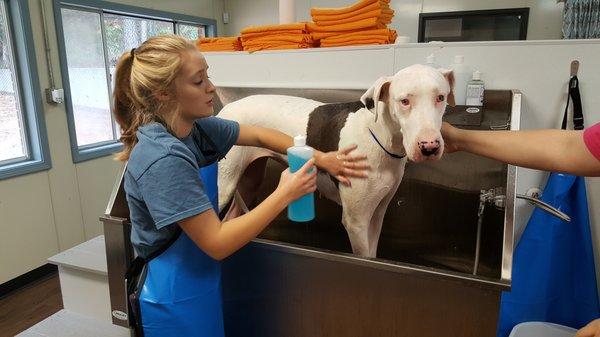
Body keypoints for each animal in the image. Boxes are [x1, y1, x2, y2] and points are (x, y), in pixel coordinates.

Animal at [216, 64, 454, 256]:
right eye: (404, 101)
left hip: (249, 182)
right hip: (224, 186)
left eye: (440, 98)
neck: (380, 138)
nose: (429, 147)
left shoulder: (377, 214)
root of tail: (225, 108)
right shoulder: (356, 222)